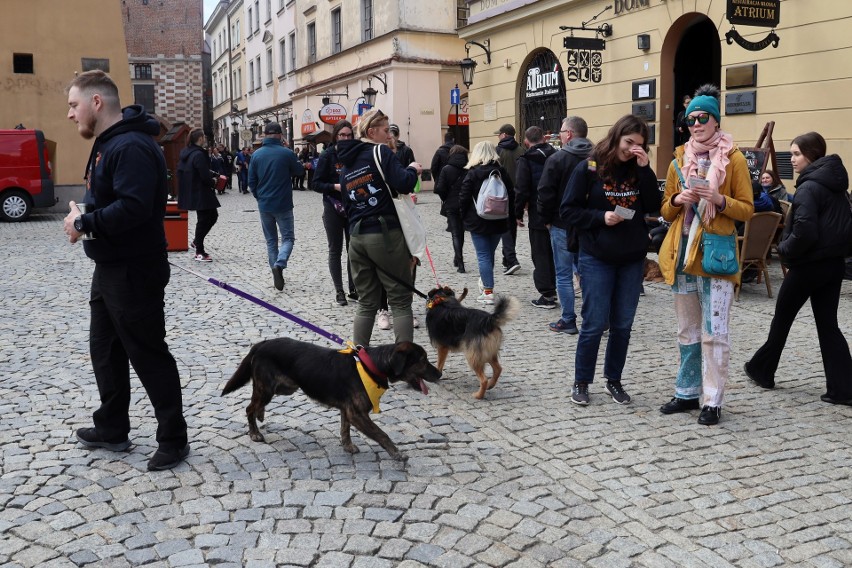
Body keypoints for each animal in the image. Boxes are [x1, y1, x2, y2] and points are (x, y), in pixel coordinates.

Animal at [220, 340, 442, 460]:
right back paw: (254, 433)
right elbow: (383, 434)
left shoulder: (347, 411)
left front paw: (348, 447)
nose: (439, 374)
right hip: (267, 388)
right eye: (422, 360)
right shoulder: (357, 414)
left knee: (256, 405)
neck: (371, 365)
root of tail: (261, 344)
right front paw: (397, 454)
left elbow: (344, 429)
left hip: (283, 388)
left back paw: (260, 416)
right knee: (249, 408)